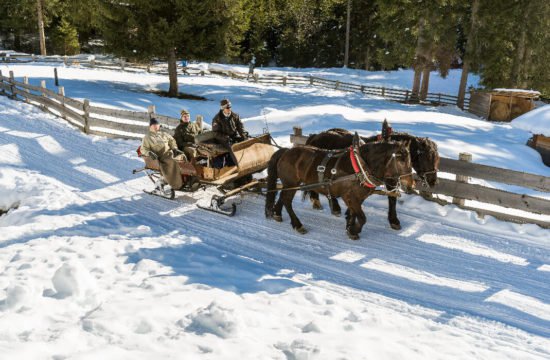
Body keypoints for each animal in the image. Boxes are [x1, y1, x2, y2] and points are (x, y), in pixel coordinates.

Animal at [266, 136, 414, 240]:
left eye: (410, 160)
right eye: (401, 160)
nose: (411, 185)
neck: (361, 166)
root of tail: (286, 151)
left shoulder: (356, 198)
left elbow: (354, 213)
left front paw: (350, 228)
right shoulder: (350, 197)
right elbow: (362, 218)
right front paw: (354, 230)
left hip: (289, 184)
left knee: (283, 197)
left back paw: (277, 213)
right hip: (291, 184)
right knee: (287, 200)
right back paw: (298, 225)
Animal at [306, 128, 440, 231]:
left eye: (437, 158)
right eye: (426, 157)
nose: (433, 181)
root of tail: (315, 136)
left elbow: (391, 198)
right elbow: (391, 199)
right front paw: (394, 221)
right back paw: (320, 203)